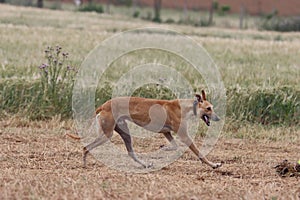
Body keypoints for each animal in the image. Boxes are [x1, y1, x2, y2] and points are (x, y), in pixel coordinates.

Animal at [69, 90, 220, 169]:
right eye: (208, 108)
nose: (218, 118)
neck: (184, 107)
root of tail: (104, 105)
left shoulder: (166, 132)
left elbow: (175, 146)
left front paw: (164, 148)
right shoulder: (184, 135)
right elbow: (199, 153)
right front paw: (213, 164)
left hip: (125, 133)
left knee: (131, 153)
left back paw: (146, 164)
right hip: (107, 134)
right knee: (86, 147)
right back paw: (84, 165)